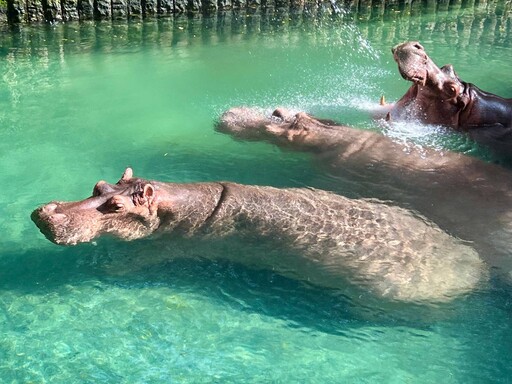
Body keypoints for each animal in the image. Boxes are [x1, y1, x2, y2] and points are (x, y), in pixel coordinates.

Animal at [32, 168, 484, 304]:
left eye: (116, 207)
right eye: (98, 185)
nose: (45, 213)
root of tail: (477, 272)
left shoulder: (169, 244)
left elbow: (137, 259)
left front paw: (109, 267)